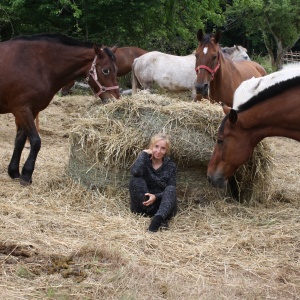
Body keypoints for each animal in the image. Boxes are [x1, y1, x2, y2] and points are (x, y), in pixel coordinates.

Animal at [1, 32, 120, 185]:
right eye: (106, 70)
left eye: (116, 70)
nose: (115, 99)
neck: (37, 64)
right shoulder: (22, 109)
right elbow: (36, 141)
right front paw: (27, 174)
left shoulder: (31, 111)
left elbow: (20, 140)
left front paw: (14, 172)